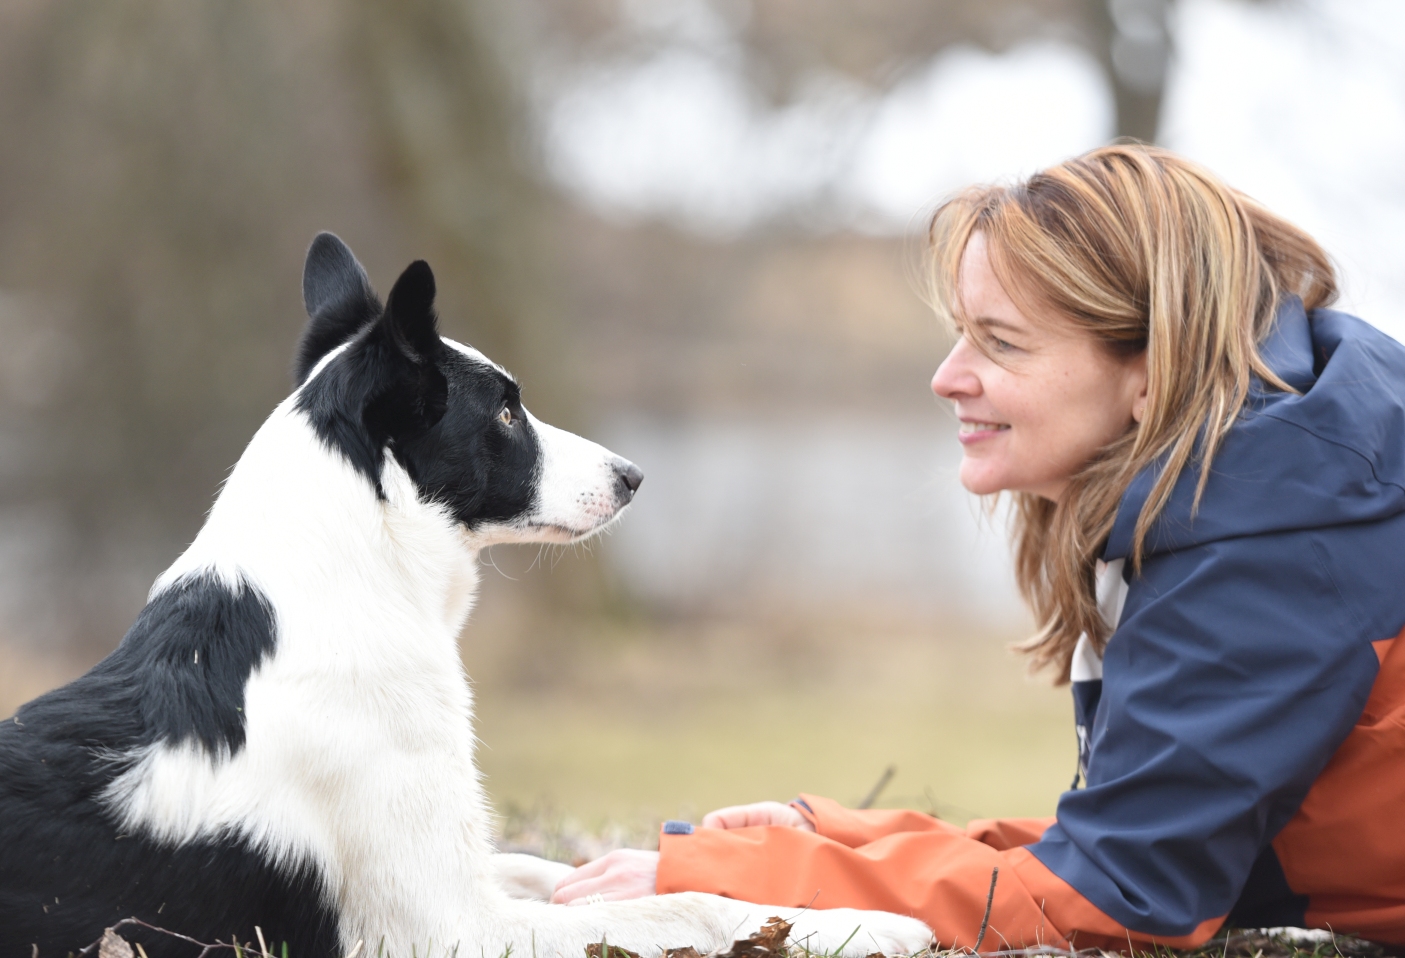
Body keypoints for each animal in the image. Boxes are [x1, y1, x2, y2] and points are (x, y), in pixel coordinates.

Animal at [0, 234, 932, 955]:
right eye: (507, 412)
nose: (633, 476)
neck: (355, 571)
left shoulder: (472, 877)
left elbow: (561, 868)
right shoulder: (452, 927)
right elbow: (685, 908)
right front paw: (873, 926)